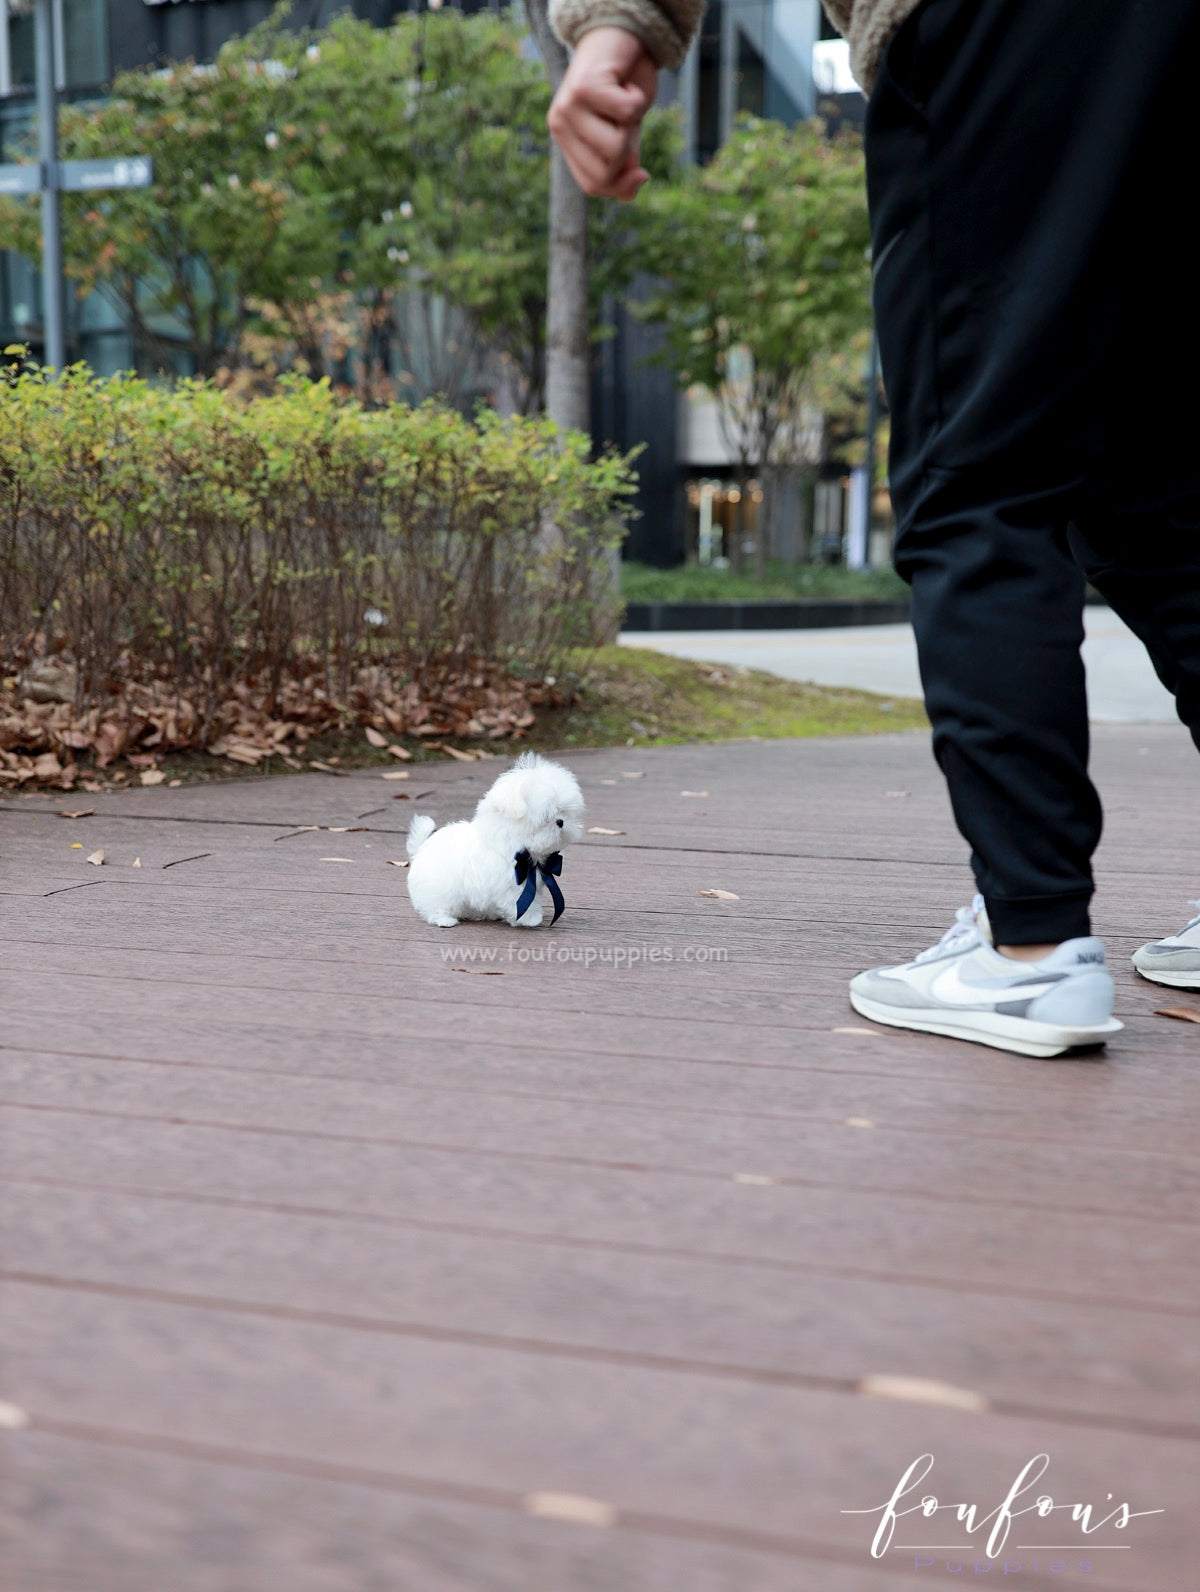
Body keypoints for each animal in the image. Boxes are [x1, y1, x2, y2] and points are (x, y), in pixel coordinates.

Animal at [407, 751, 585, 929]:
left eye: (563, 811)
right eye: (546, 817)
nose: (560, 822)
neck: (515, 843)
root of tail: (420, 850)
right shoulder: (511, 886)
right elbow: (522, 901)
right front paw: (531, 918)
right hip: (441, 891)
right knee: (436, 907)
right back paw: (445, 920)